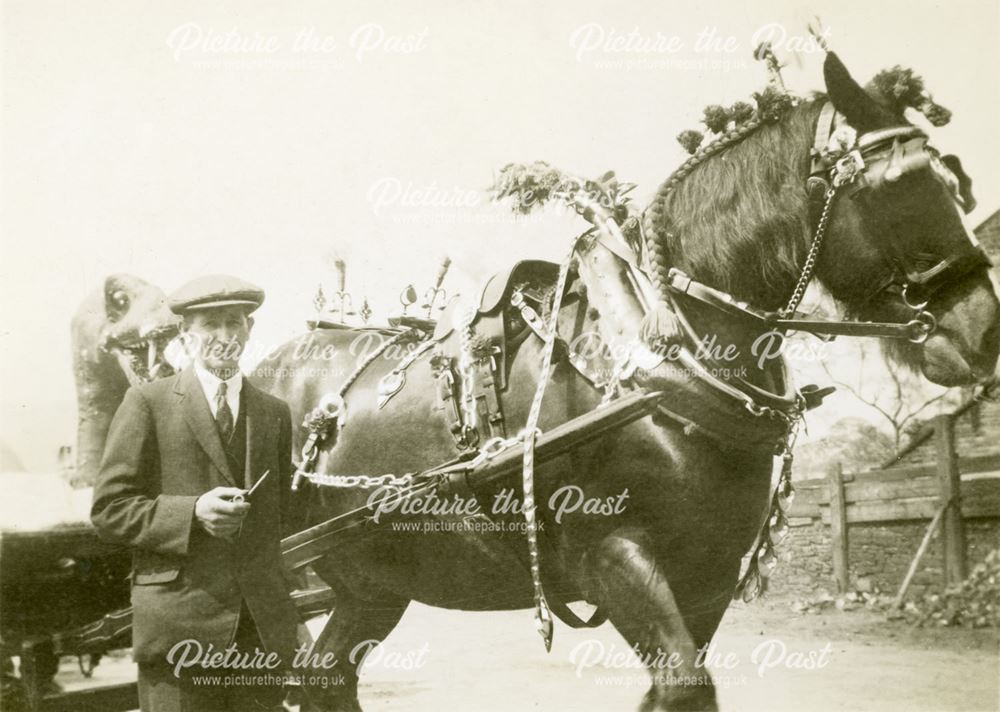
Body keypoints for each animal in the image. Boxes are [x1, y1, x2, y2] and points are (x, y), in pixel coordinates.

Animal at [254, 51, 996, 712]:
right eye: (898, 190)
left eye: (953, 180)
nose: (985, 330)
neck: (661, 371)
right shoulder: (611, 554)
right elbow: (685, 686)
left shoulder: (709, 575)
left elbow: (672, 690)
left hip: (372, 582)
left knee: (325, 676)